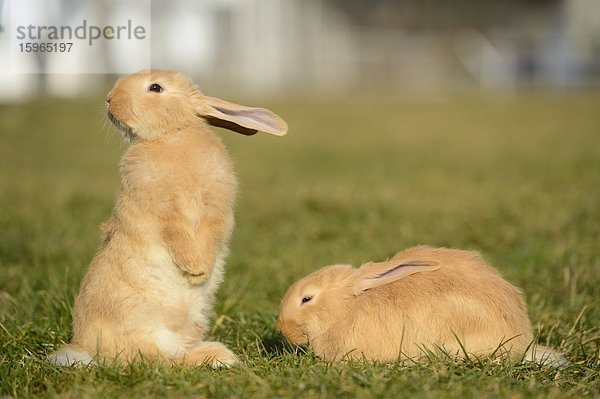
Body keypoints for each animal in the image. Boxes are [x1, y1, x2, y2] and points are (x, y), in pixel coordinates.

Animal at [49, 69, 288, 368]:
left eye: (155, 88)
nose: (109, 99)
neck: (172, 135)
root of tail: (91, 350)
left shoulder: (216, 205)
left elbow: (209, 232)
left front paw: (200, 271)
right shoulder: (164, 208)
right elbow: (177, 233)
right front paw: (196, 271)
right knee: (164, 359)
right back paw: (220, 356)